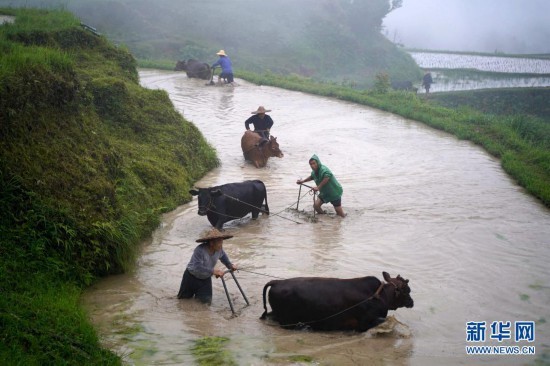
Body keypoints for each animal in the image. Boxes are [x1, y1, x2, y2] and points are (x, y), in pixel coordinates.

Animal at [262, 272, 414, 332]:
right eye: (407, 290)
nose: (411, 302)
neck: (380, 296)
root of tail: (276, 282)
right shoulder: (364, 323)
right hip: (287, 321)